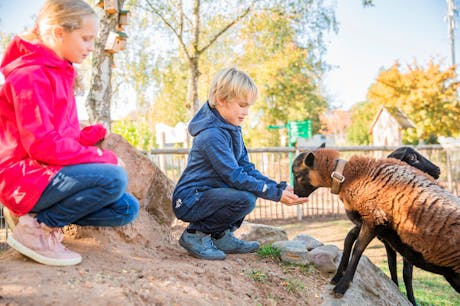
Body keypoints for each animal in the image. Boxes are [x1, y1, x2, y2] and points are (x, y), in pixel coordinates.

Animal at [292, 147, 458, 298]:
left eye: (298, 174)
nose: (296, 194)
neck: (350, 176)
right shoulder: (372, 223)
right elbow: (350, 241)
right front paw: (337, 276)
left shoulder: (373, 218)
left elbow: (358, 248)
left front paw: (342, 286)